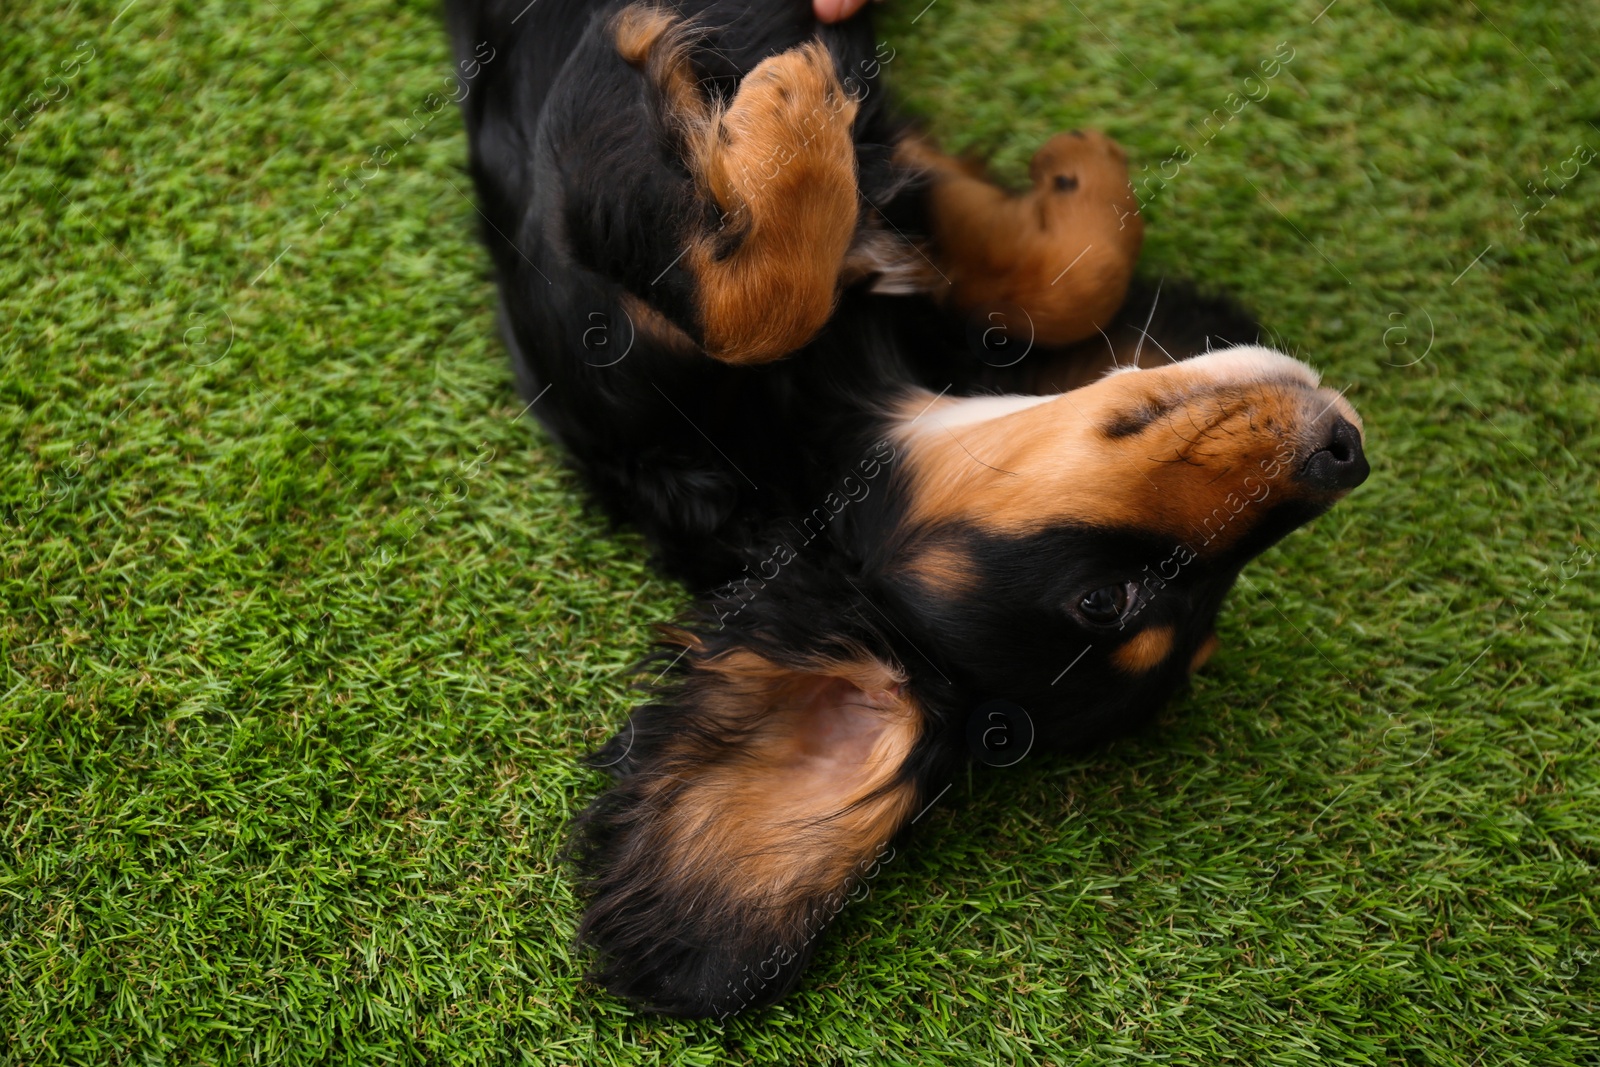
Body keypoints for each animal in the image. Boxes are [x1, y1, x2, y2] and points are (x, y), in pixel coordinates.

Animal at [444, 0, 1369, 1017]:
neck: (806, 422)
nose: (1346, 454)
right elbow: (797, 303)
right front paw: (818, 111)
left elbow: (1023, 283)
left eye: (1178, 624)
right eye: (1107, 601)